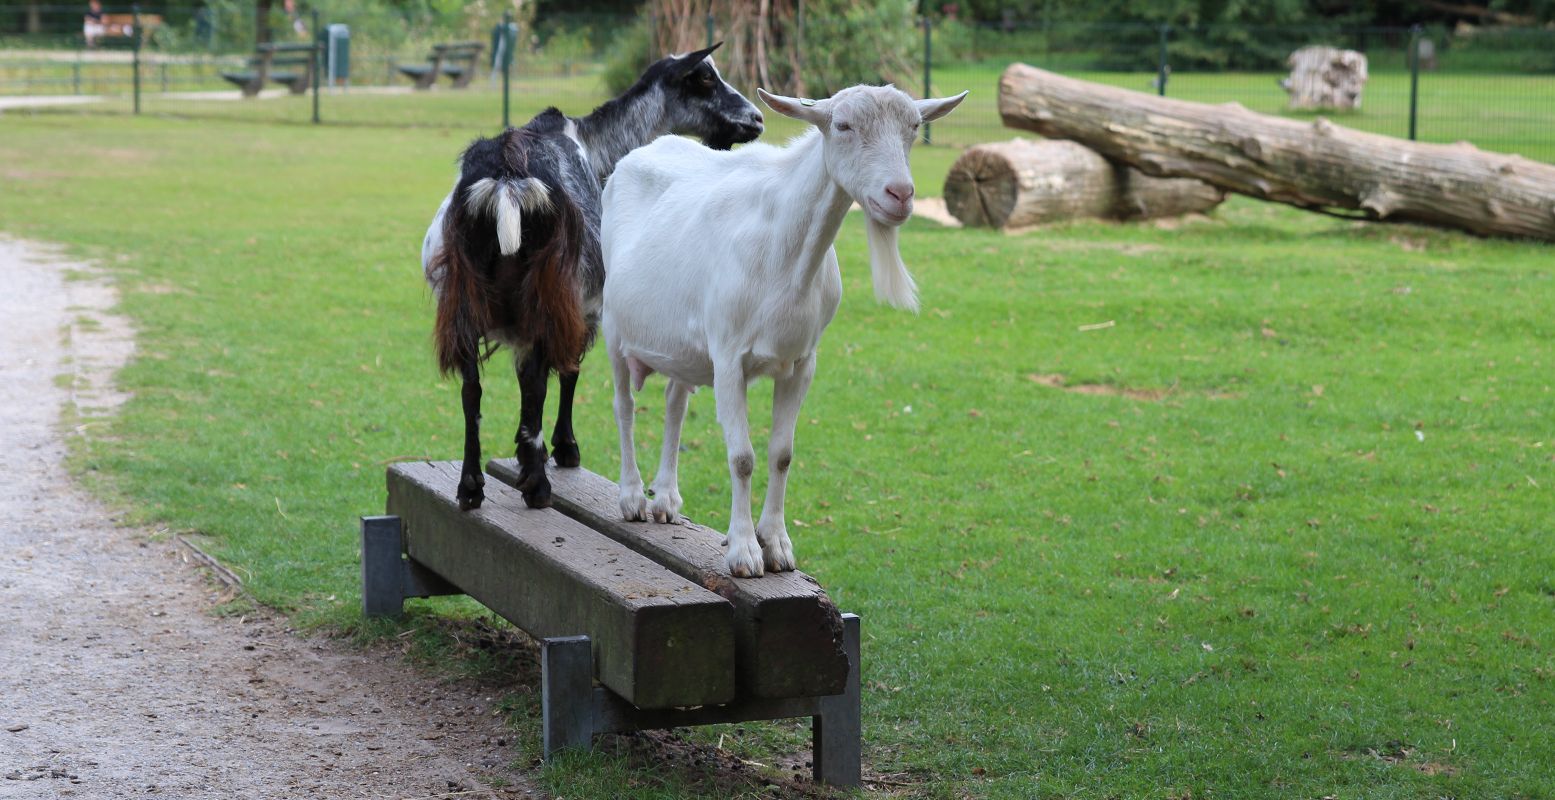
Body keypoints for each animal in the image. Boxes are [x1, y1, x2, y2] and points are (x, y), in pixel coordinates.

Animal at [426, 43, 765, 507]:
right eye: (704, 78)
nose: (757, 119)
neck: (595, 146)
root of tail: (507, 180)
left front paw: (526, 451)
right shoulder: (587, 305)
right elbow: (567, 372)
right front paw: (562, 450)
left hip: (461, 300)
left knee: (471, 389)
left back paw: (471, 486)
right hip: (549, 294)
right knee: (540, 380)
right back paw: (537, 486)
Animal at [600, 84, 964, 575]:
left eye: (913, 127)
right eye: (843, 126)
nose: (901, 194)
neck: (783, 253)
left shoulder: (801, 362)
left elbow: (782, 454)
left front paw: (776, 545)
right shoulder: (729, 356)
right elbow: (742, 457)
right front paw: (744, 552)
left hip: (683, 347)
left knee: (675, 402)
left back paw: (667, 500)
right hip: (613, 328)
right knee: (624, 406)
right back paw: (633, 497)